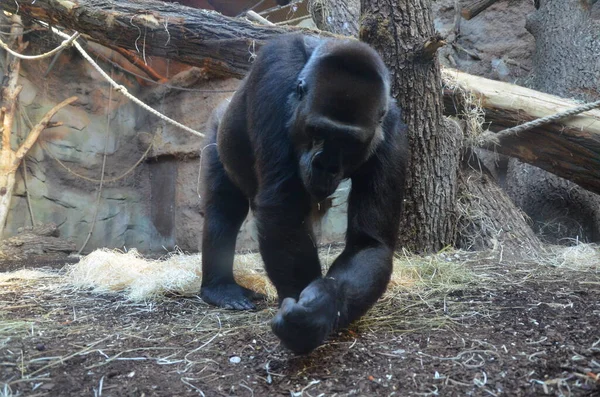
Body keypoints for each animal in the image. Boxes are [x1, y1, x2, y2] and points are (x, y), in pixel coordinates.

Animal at [199, 32, 410, 352]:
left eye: (349, 142)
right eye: (318, 131)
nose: (325, 165)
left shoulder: (393, 130)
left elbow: (368, 243)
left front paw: (320, 310)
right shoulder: (274, 73)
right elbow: (283, 210)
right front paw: (304, 323)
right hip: (215, 132)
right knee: (223, 210)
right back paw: (220, 288)